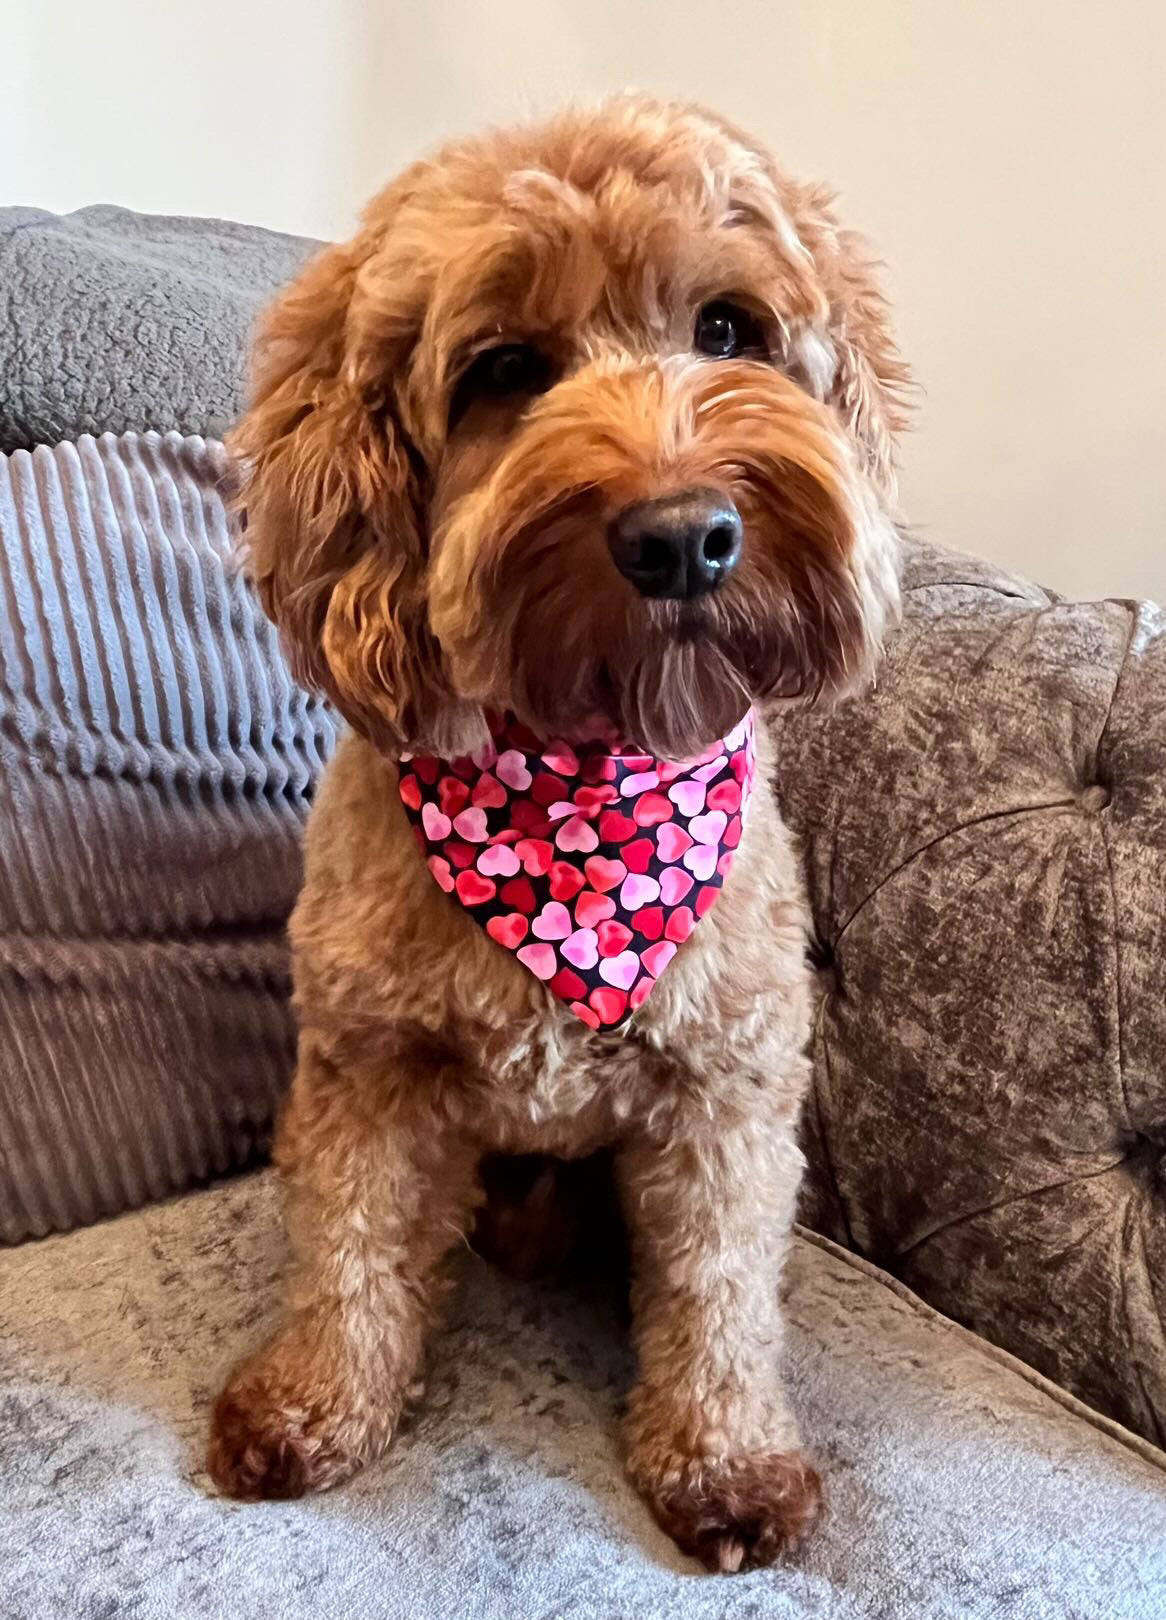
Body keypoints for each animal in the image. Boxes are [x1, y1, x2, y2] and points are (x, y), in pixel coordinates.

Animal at [204, 91, 906, 1568]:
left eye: (726, 329)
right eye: (503, 370)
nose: (683, 534)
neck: (577, 802)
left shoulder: (728, 1089)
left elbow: (716, 1290)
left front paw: (724, 1462)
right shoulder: (368, 1069)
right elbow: (347, 1250)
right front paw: (313, 1407)